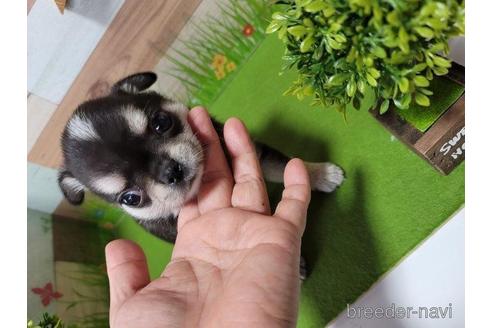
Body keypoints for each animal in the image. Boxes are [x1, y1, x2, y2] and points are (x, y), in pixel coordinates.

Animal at [57, 73, 344, 242]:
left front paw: (320, 174)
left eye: (161, 123)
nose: (170, 172)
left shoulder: (254, 151)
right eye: (130, 198)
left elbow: (282, 167)